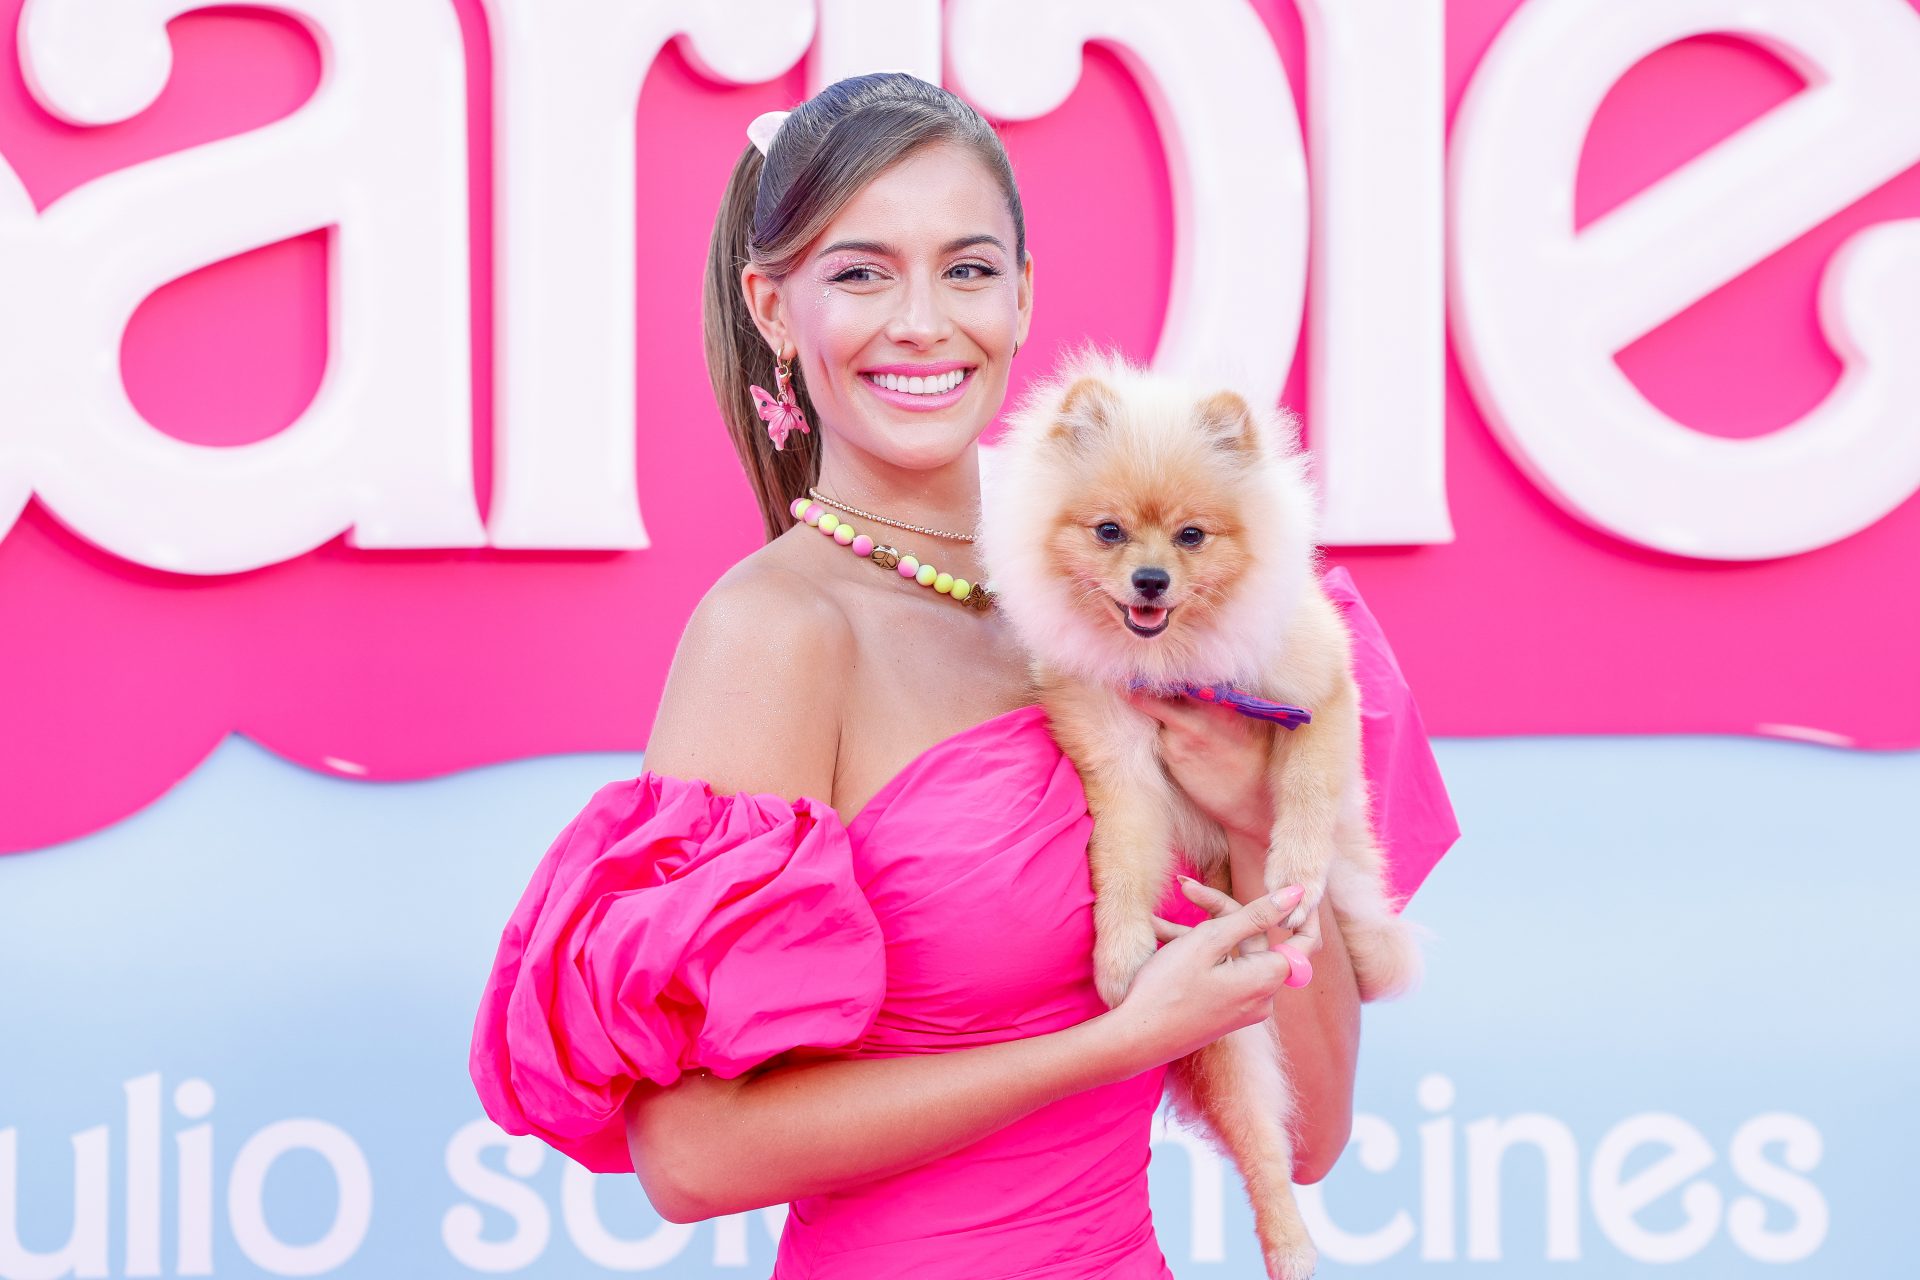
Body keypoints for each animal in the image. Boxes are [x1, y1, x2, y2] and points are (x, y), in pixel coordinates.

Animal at [983, 347, 1420, 1280]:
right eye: (1109, 532)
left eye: (1191, 536)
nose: (1150, 579)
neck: (1175, 661)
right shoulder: (1118, 760)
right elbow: (1120, 859)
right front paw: (1117, 957)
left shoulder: (1318, 696)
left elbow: (1304, 797)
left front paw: (1292, 875)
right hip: (1223, 1038)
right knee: (1261, 1146)